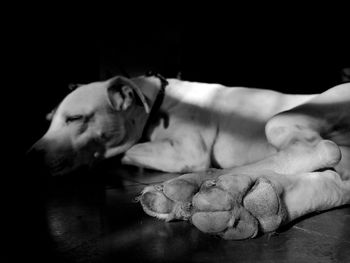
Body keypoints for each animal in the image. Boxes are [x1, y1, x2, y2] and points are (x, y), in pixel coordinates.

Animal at [28, 73, 350, 240]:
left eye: (75, 118)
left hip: (285, 120)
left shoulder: (187, 150)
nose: (31, 156)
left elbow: (127, 151)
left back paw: (204, 188)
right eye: (49, 120)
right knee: (333, 174)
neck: (157, 104)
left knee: (321, 149)